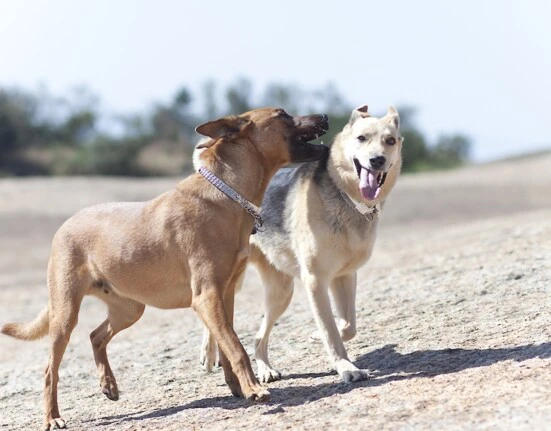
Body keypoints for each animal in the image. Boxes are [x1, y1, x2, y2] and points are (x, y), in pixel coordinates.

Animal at [1, 107, 328, 428]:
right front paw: (254, 389)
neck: (227, 194)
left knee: (96, 336)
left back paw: (108, 384)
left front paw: (237, 387)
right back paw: (53, 416)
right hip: (66, 313)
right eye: (282, 114)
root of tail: (65, 225)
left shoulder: (226, 293)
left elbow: (226, 344)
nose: (324, 116)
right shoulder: (207, 296)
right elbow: (236, 347)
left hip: (129, 308)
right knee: (50, 370)